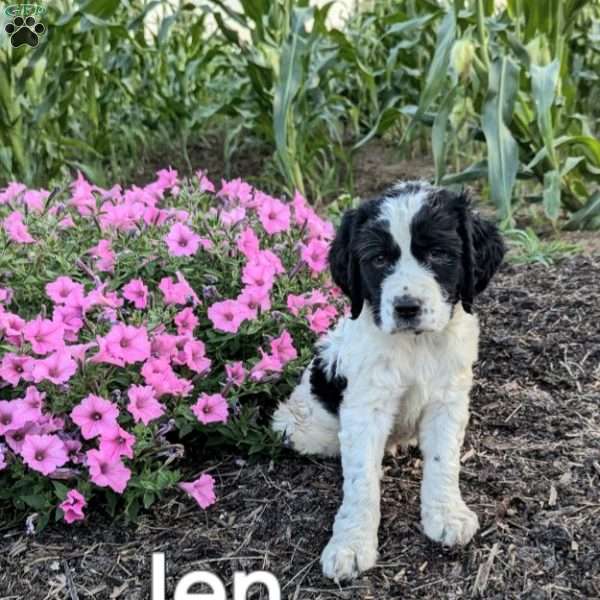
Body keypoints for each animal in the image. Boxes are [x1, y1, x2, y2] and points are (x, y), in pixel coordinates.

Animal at [274, 179, 504, 580]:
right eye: (379, 260)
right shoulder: (366, 407)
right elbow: (361, 479)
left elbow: (444, 461)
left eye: (439, 254)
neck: (415, 345)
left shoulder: (448, 399)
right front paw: (351, 545)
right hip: (302, 426)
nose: (406, 308)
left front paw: (447, 514)